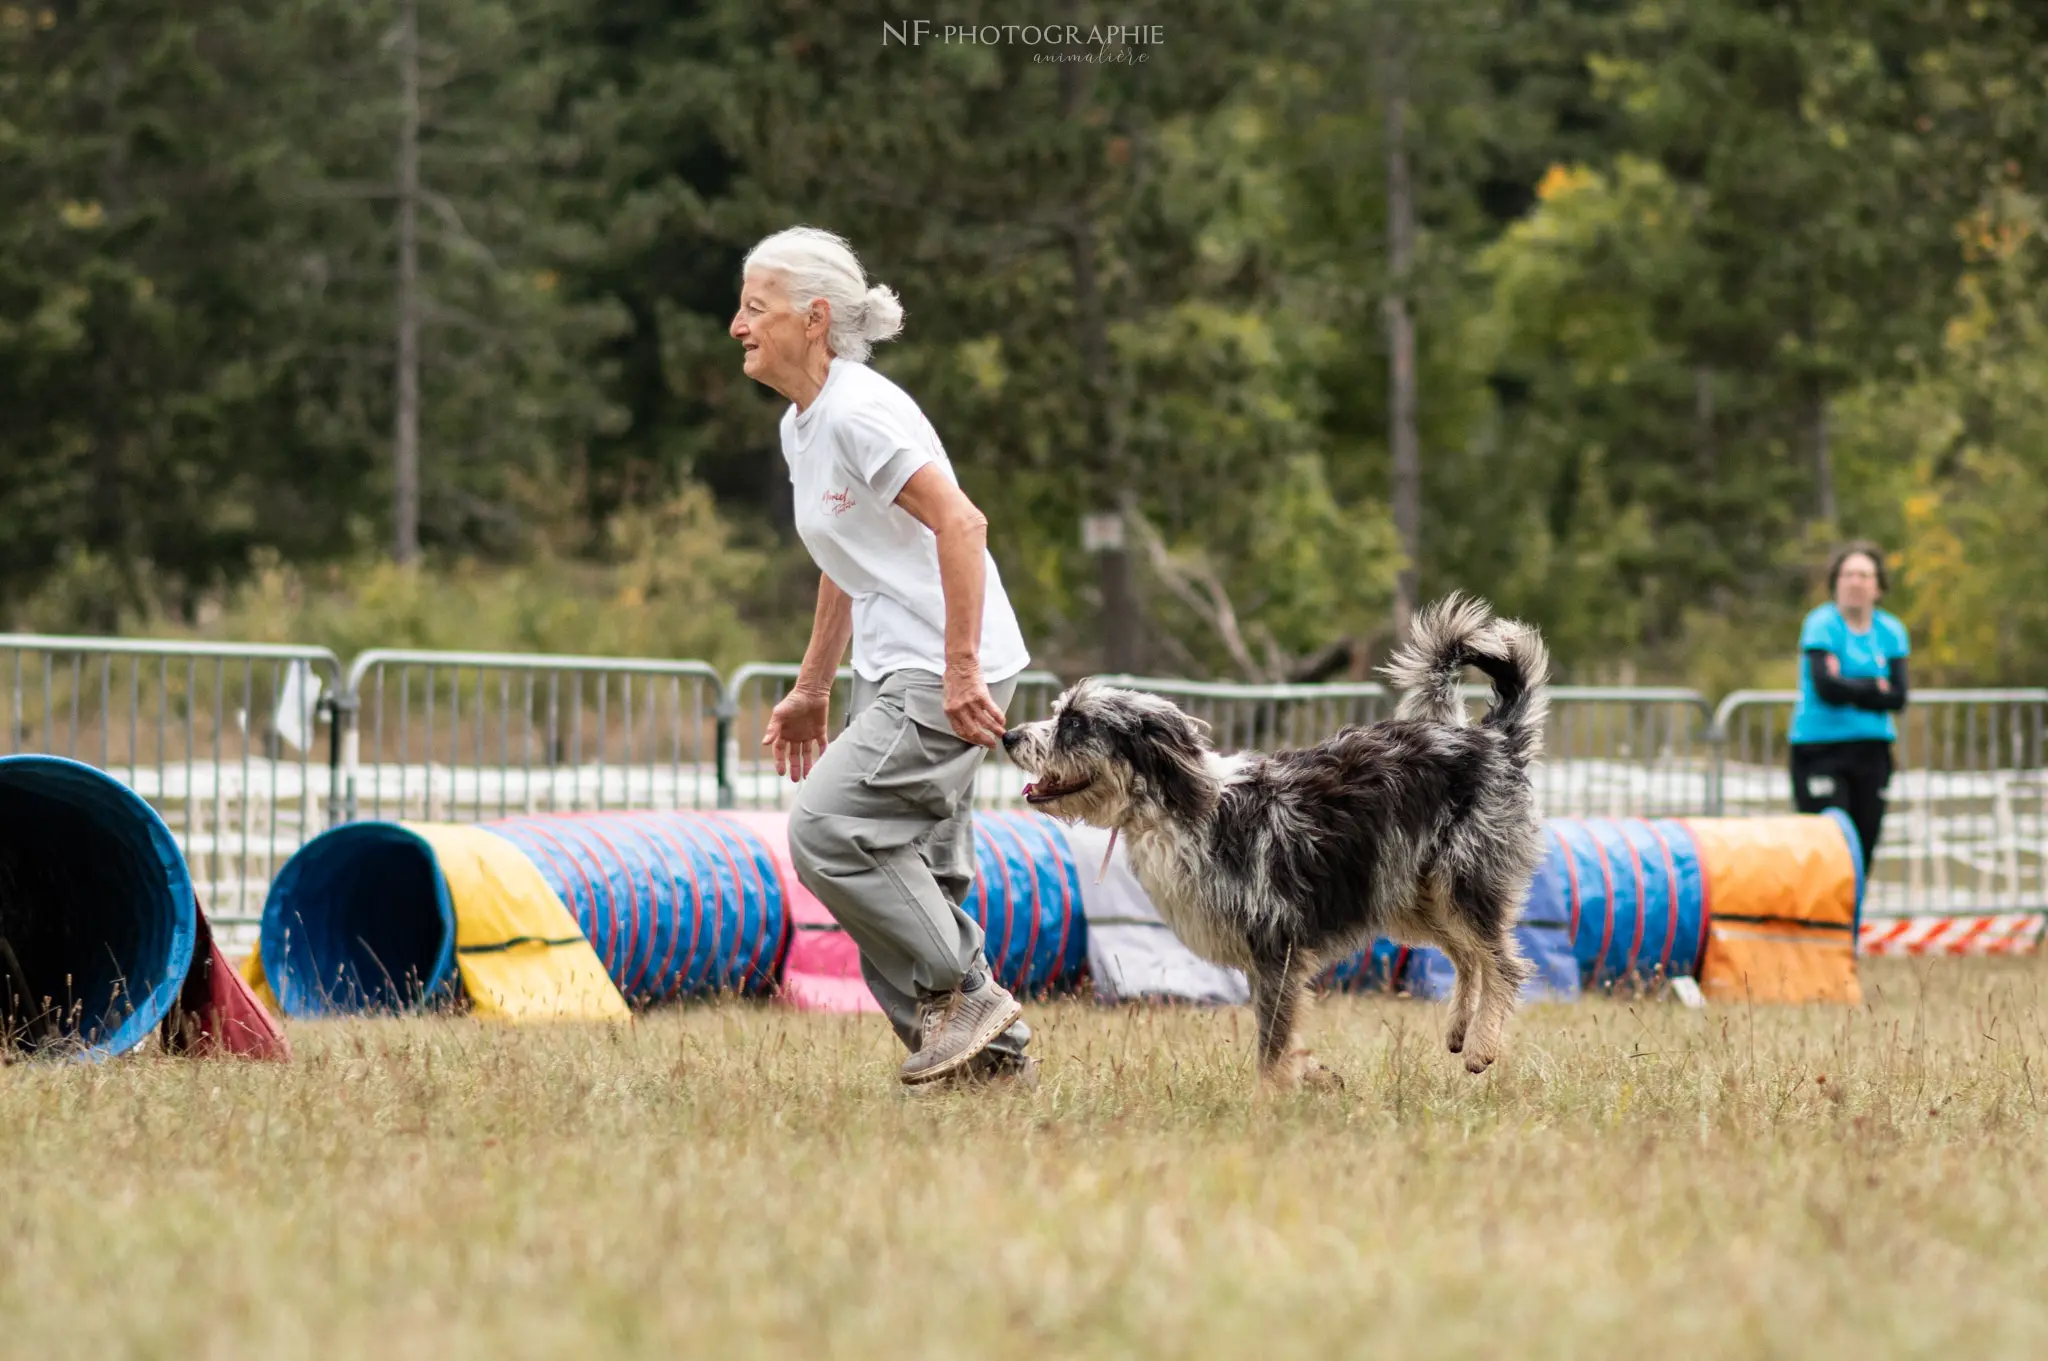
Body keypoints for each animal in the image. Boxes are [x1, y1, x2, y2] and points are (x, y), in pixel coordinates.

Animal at [999, 593, 1540, 1080]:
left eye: (1074, 723)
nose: (1008, 736)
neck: (1181, 808)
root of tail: (1493, 738)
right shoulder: (1267, 960)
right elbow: (1279, 1040)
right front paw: (1305, 1081)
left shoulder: (1275, 948)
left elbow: (1273, 1044)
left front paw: (1268, 1101)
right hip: (1410, 895)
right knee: (1468, 957)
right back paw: (1460, 1029)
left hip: (1461, 881)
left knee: (1503, 963)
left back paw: (1482, 1045)